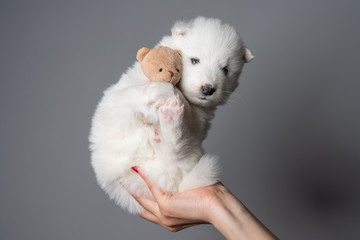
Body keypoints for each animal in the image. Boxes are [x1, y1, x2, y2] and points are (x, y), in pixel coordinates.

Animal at [89, 15, 253, 213]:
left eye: (225, 69)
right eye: (195, 60)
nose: (208, 89)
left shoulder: (198, 124)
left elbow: (187, 118)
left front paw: (172, 99)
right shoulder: (116, 99)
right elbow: (135, 94)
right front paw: (162, 91)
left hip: (185, 161)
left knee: (176, 153)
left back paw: (169, 122)